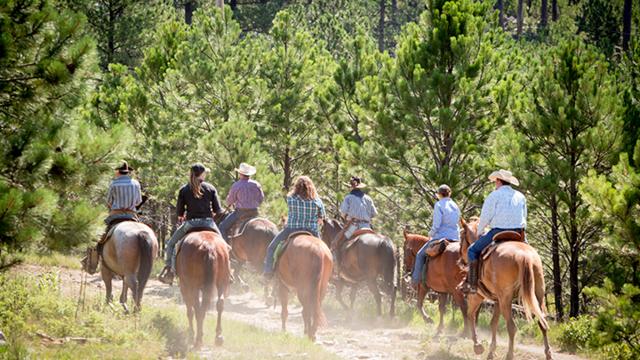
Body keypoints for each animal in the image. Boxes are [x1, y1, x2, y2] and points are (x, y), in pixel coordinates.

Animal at [458, 218, 552, 358]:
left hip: (505, 300)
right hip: (537, 295)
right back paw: (548, 354)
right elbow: (493, 323)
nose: (460, 261)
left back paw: (509, 355)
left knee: (511, 327)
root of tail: (524, 256)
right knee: (542, 323)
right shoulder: (497, 300)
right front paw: (490, 352)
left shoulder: (477, 295)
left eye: (462, 237)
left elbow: (471, 315)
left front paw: (478, 346)